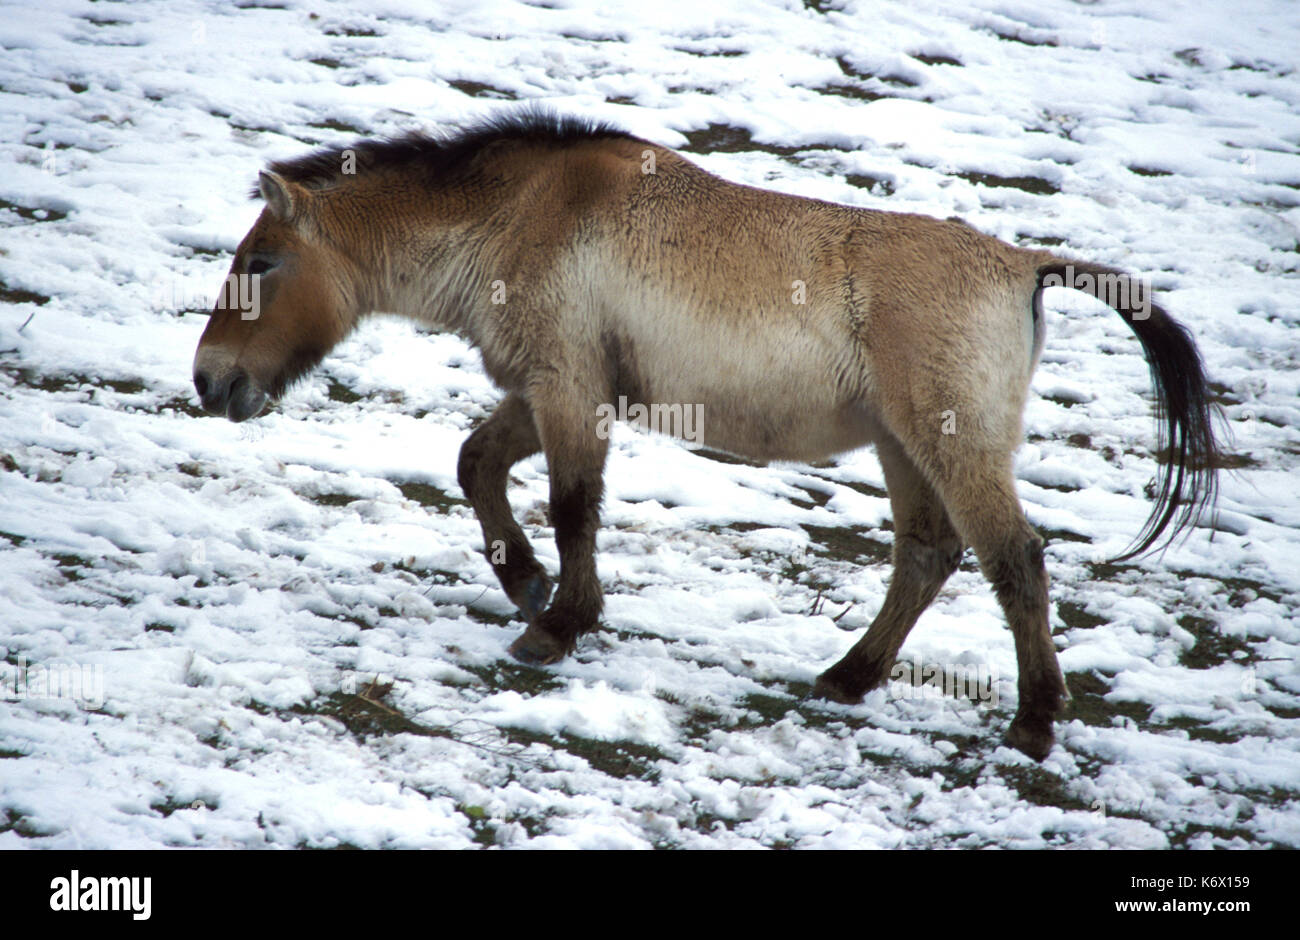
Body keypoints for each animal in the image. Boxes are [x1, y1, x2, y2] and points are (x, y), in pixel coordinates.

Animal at [189, 110, 1216, 759]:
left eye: (263, 261)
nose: (209, 380)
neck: (520, 216)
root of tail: (1023, 265)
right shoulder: (550, 389)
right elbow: (478, 466)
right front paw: (530, 587)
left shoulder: (568, 392)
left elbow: (572, 506)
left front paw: (555, 624)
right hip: (902, 446)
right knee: (927, 556)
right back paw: (849, 677)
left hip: (950, 444)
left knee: (1014, 560)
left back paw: (1034, 724)